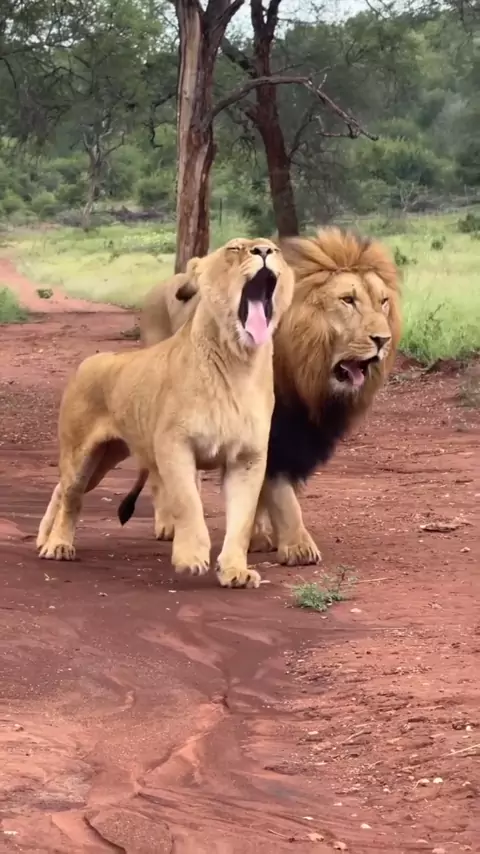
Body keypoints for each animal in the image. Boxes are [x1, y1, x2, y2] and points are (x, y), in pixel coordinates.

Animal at [36, 238, 294, 589]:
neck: (239, 362)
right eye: (235, 248)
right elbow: (188, 503)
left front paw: (235, 571)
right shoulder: (175, 445)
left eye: (275, 250)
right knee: (70, 494)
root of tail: (88, 362)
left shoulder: (248, 458)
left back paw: (44, 540)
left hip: (106, 457)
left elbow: (241, 520)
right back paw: (58, 545)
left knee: (59, 489)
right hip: (81, 455)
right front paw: (190, 558)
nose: (265, 251)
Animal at [118, 227, 401, 566]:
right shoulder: (272, 433)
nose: (383, 340)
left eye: (383, 302)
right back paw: (169, 524)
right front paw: (298, 546)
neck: (304, 378)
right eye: (348, 300)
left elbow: (257, 492)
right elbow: (280, 492)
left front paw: (257, 536)